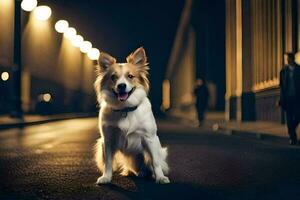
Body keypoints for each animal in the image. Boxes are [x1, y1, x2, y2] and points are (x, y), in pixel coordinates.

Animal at [94, 47, 169, 184]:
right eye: (113, 77)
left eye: (130, 76)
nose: (121, 86)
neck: (125, 109)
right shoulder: (107, 139)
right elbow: (108, 162)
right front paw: (106, 177)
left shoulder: (150, 138)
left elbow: (155, 162)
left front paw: (160, 177)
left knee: (150, 164)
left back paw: (147, 173)